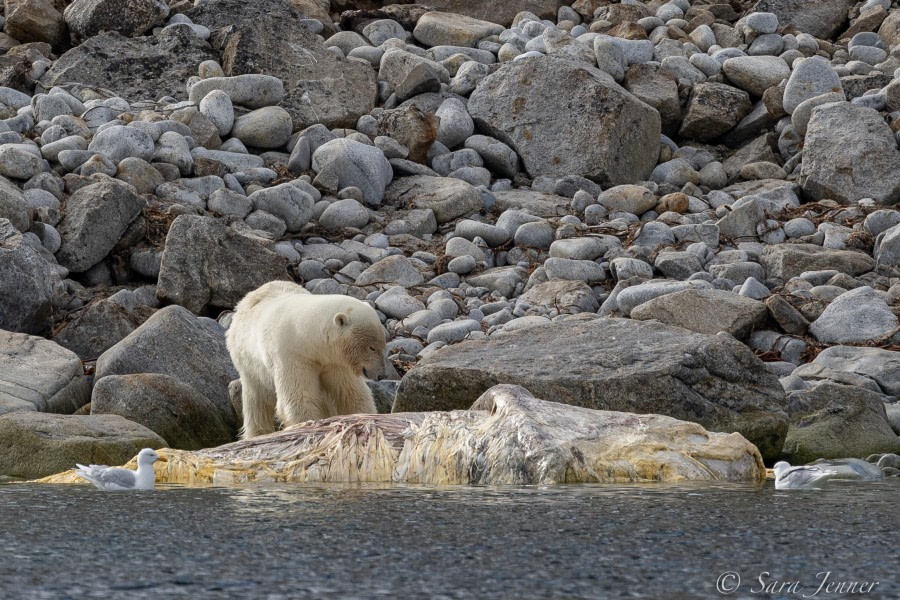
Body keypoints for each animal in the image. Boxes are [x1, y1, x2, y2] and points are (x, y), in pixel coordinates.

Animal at [225, 282, 386, 440]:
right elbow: (298, 398)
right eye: (372, 347)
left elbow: (350, 393)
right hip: (248, 363)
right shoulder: (291, 356)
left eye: (383, 345)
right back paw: (258, 433)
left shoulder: (334, 360)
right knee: (257, 401)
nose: (381, 374)